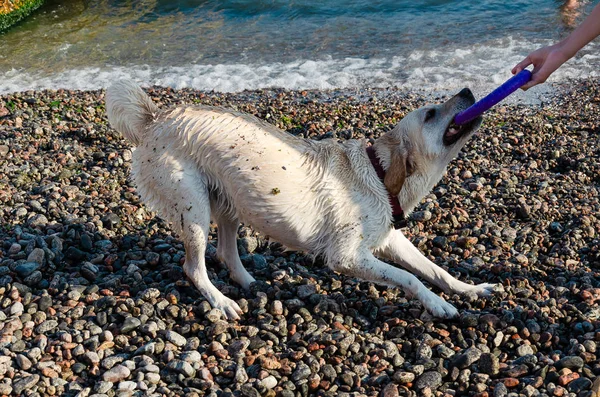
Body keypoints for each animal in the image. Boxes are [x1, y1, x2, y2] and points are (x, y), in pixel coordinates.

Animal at [105, 81, 494, 318]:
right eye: (431, 113)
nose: (467, 89)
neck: (380, 173)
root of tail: (155, 119)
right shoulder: (347, 257)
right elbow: (409, 278)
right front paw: (438, 305)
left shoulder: (390, 238)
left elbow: (434, 269)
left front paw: (468, 289)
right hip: (193, 208)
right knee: (194, 266)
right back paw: (222, 301)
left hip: (230, 198)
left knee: (226, 252)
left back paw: (251, 284)